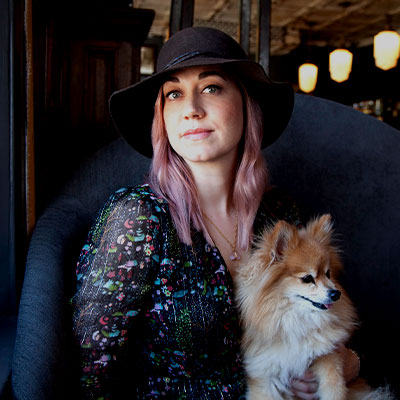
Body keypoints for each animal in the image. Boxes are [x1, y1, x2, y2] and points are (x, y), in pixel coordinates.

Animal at [236, 216, 392, 400]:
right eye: (307, 278)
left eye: (328, 274)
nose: (336, 293)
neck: (296, 320)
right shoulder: (264, 377)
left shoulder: (327, 354)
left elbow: (333, 385)